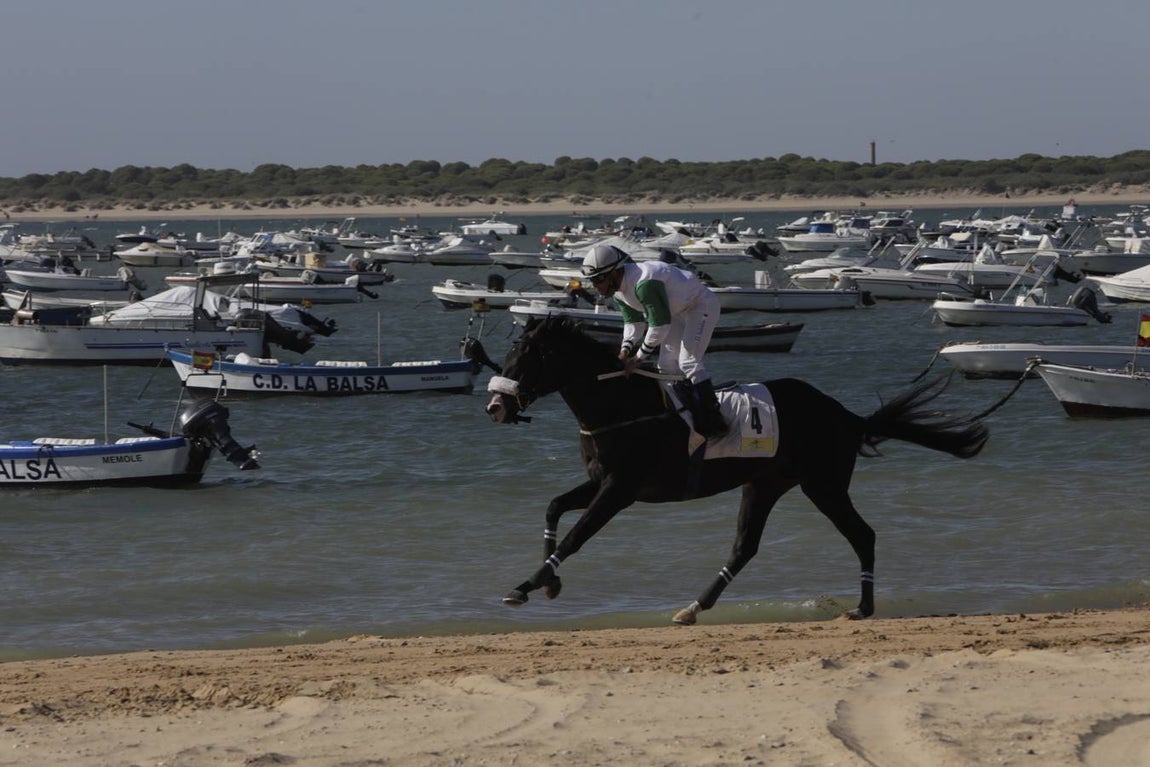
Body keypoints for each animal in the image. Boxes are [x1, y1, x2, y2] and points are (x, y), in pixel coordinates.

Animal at [483, 317, 989, 624]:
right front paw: (548, 584)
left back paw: (862, 608)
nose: (495, 407)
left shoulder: (620, 490)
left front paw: (527, 585)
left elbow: (575, 537)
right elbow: (553, 508)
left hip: (822, 484)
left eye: (525, 357)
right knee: (746, 546)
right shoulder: (599, 482)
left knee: (862, 535)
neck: (623, 406)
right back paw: (693, 607)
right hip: (765, 485)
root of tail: (845, 415)